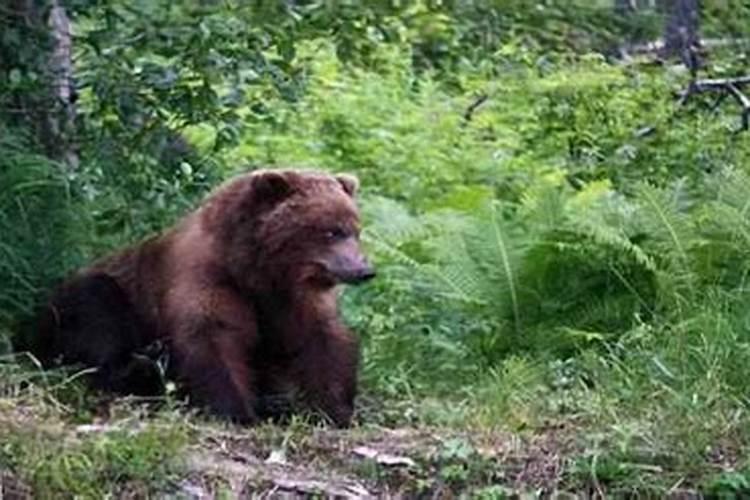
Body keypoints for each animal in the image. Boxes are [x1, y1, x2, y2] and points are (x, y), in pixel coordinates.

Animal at [28, 168, 376, 426]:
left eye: (355, 230)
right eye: (331, 231)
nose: (364, 270)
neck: (254, 269)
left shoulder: (293, 298)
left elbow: (322, 340)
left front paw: (335, 410)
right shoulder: (206, 278)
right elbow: (212, 337)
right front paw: (236, 411)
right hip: (104, 291)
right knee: (96, 314)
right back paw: (138, 368)